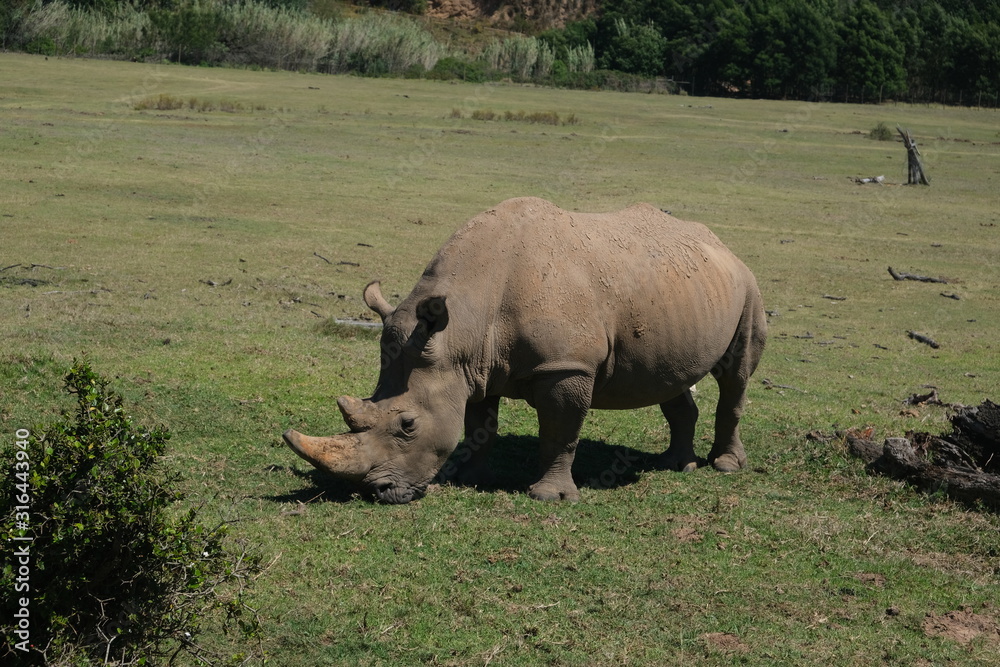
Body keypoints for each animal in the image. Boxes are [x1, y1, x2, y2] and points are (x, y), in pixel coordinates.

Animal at [283, 197, 766, 503]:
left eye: (407, 425)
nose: (377, 493)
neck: (464, 323)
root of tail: (721, 244)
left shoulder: (566, 367)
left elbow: (559, 432)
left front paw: (550, 497)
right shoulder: (469, 366)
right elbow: (478, 426)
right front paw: (469, 479)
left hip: (747, 285)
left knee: (735, 376)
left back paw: (725, 466)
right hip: (683, 293)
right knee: (672, 377)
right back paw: (675, 465)